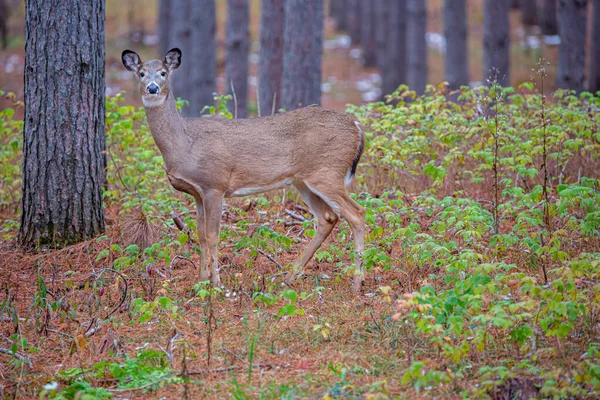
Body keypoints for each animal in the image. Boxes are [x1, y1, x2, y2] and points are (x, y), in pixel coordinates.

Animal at [120, 47, 366, 290]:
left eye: (163, 73)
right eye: (141, 73)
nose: (152, 88)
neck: (184, 143)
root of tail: (356, 125)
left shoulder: (214, 185)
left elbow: (213, 235)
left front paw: (216, 284)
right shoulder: (197, 193)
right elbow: (200, 234)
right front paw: (201, 281)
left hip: (327, 172)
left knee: (357, 213)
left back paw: (357, 282)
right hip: (303, 180)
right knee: (327, 218)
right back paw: (288, 277)